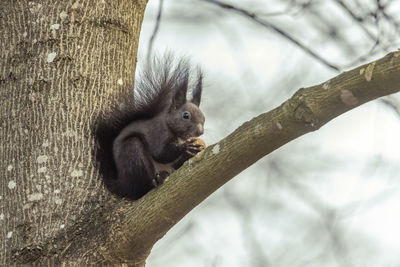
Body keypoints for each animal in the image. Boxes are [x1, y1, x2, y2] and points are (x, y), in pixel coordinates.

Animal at [95, 56, 205, 200]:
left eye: (203, 118)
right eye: (186, 115)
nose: (200, 131)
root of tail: (121, 186)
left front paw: (198, 148)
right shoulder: (158, 134)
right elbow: (160, 153)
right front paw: (185, 147)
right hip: (132, 153)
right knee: (140, 188)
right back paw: (155, 181)